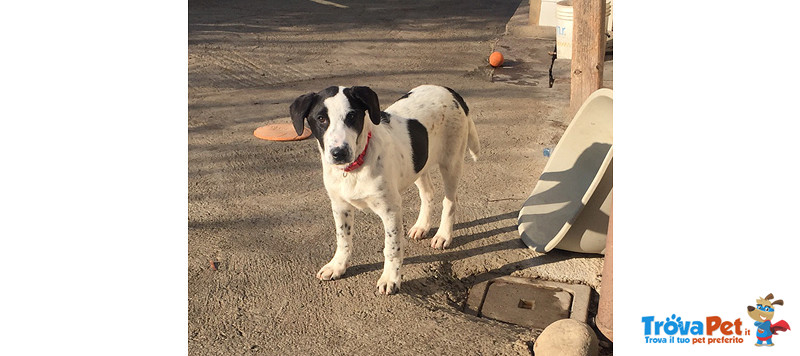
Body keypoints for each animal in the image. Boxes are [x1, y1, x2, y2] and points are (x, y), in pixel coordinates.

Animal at [294, 85, 482, 294]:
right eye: (321, 119)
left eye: (352, 116)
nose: (339, 153)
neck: (355, 167)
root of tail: (448, 90)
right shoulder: (340, 206)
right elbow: (343, 239)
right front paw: (338, 265)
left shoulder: (390, 210)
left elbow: (392, 248)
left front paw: (390, 278)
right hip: (418, 163)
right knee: (428, 193)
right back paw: (422, 226)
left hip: (451, 162)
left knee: (450, 200)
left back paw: (443, 235)